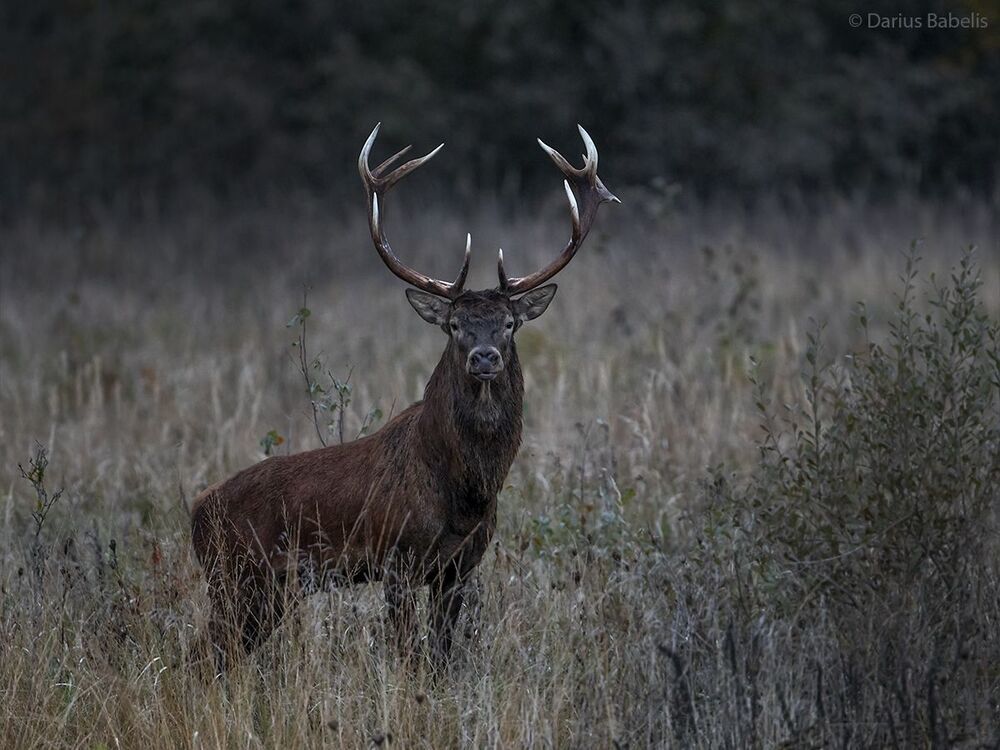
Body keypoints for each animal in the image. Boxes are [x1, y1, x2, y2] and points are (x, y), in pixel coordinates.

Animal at [191, 124, 618, 669]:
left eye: (509, 323)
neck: (465, 493)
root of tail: (195, 512)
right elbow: (405, 652)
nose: (484, 357)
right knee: (205, 653)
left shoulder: (460, 567)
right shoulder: (395, 554)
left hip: (267, 591)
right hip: (236, 575)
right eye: (454, 324)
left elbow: (441, 655)